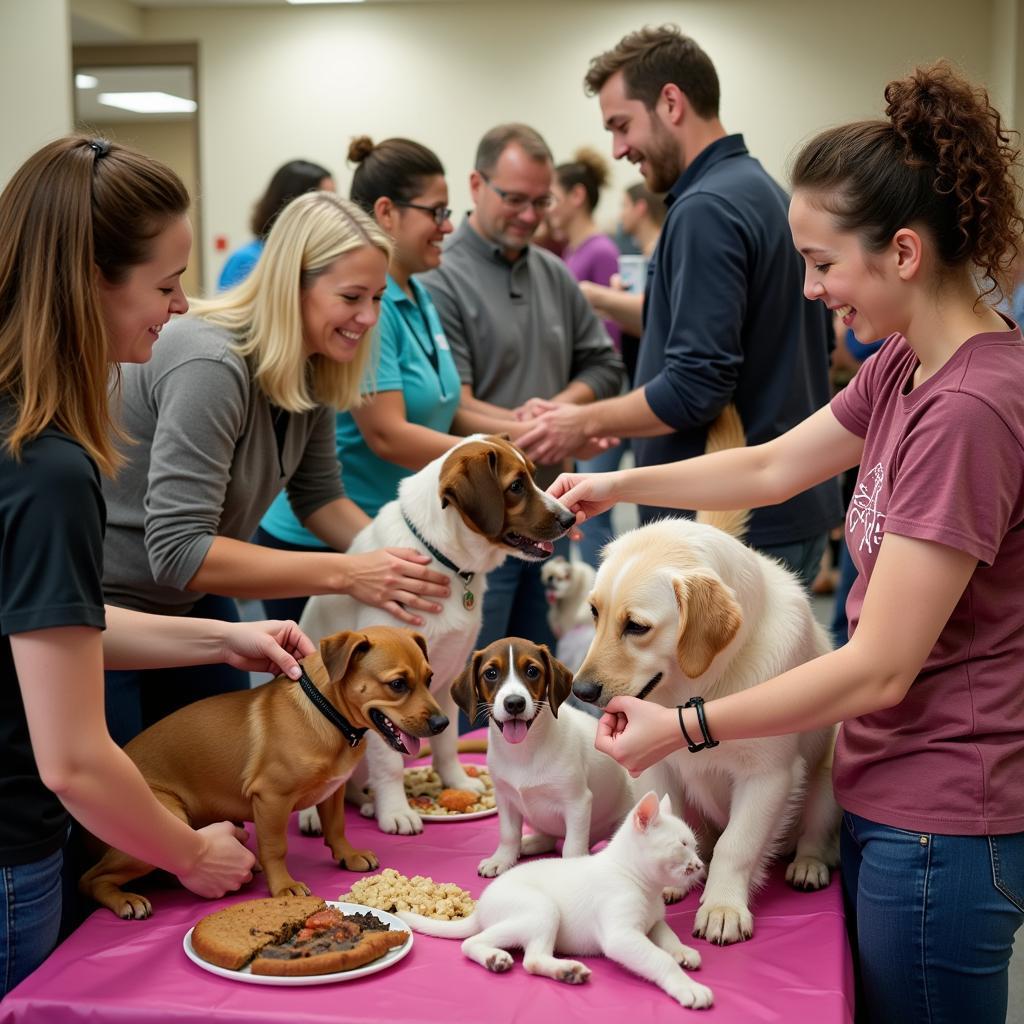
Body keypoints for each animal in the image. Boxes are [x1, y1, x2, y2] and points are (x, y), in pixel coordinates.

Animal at [80, 622, 444, 921]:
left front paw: (348, 856)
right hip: (166, 820)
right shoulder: (271, 798)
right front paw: (283, 886)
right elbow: (275, 847)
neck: (327, 714)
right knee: (91, 879)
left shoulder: (333, 789)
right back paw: (126, 900)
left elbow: (337, 826)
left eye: (429, 679)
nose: (443, 724)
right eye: (397, 684)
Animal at [299, 436, 581, 835]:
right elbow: (390, 761)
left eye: (533, 475)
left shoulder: (446, 676)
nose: (569, 518)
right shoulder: (380, 696)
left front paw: (457, 783)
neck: (445, 560)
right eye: (516, 486)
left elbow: (446, 740)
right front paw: (395, 810)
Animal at [397, 790, 712, 1007]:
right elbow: (659, 959)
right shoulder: (622, 936)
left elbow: (668, 937)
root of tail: (481, 906)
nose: (700, 865)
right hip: (542, 909)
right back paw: (543, 966)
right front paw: (687, 986)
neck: (640, 882)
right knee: (506, 952)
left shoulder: (653, 923)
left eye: (695, 846)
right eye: (682, 846)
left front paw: (684, 951)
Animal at [452, 634, 634, 876]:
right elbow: (508, 835)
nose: (514, 703)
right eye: (491, 673)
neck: (524, 750)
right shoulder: (505, 799)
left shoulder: (577, 802)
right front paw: (501, 859)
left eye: (532, 671)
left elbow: (572, 847)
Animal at [573, 509, 835, 942]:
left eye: (636, 626)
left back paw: (809, 864)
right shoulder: (655, 768)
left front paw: (723, 907)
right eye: (594, 612)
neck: (698, 693)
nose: (579, 690)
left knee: (815, 831)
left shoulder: (768, 776)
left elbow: (736, 845)